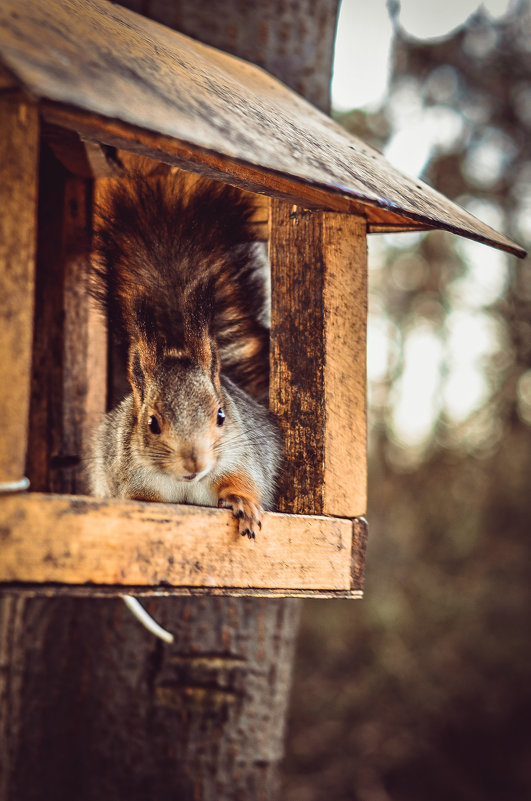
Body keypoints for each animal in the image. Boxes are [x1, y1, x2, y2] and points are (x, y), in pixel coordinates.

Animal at [87, 172, 282, 540]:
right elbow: (139, 498)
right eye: (152, 424)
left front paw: (244, 504)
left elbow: (243, 482)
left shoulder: (241, 459)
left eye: (221, 416)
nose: (195, 464)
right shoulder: (129, 477)